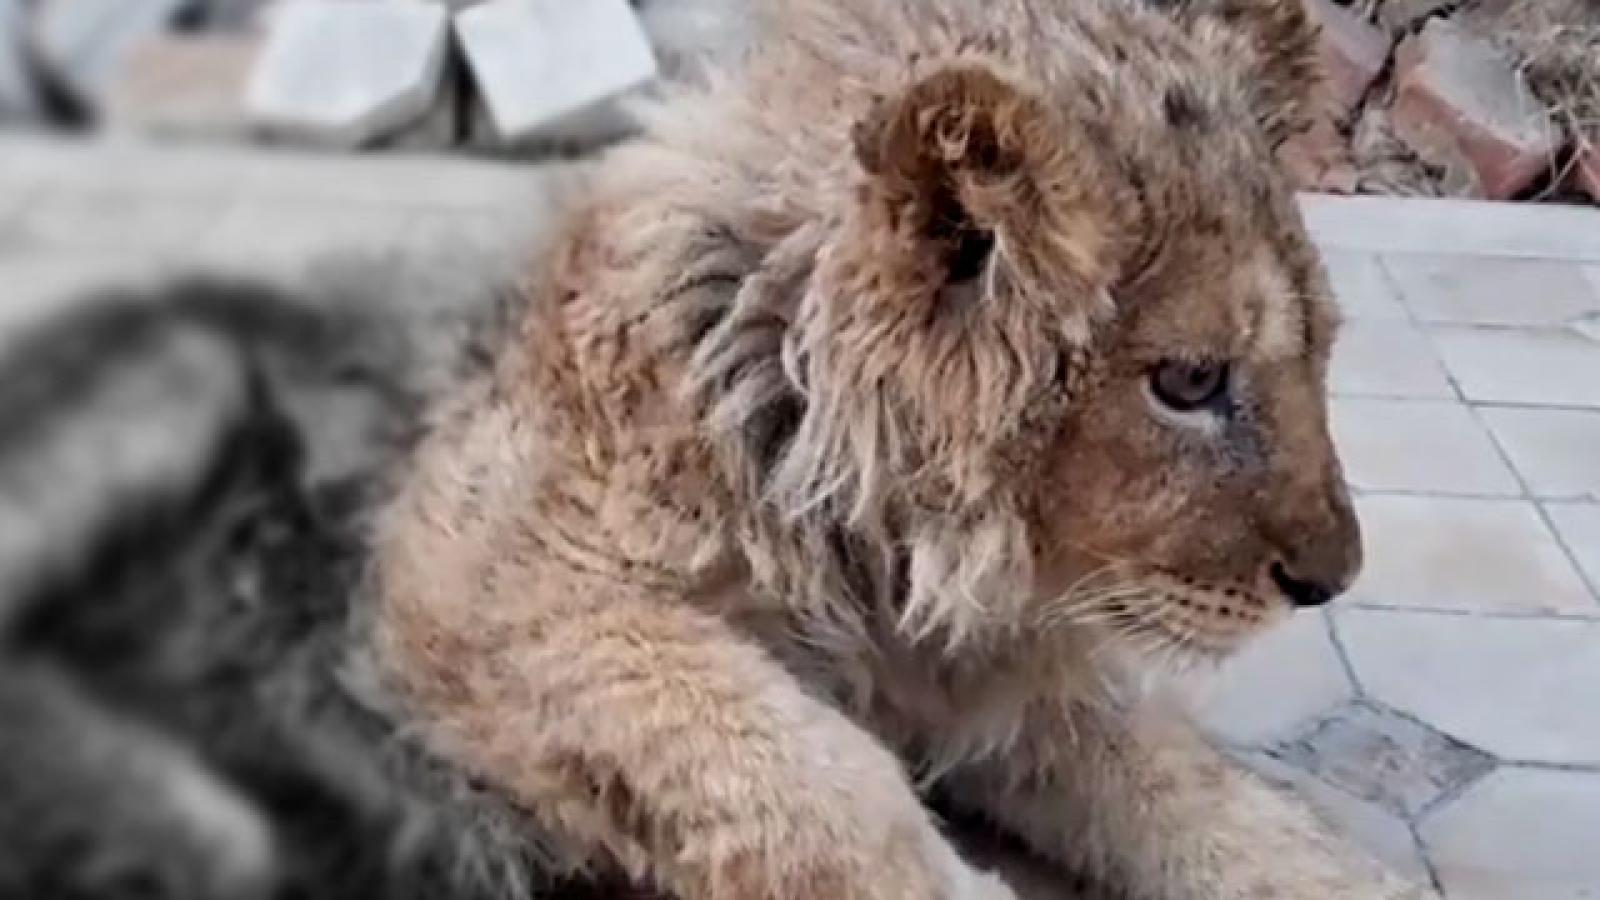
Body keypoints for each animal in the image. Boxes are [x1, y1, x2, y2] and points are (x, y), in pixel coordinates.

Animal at [375, 1, 1439, 898]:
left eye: (1322, 350)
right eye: (1189, 383)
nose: (1332, 581)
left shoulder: (1004, 676)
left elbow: (1194, 786)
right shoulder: (486, 587)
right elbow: (814, 780)